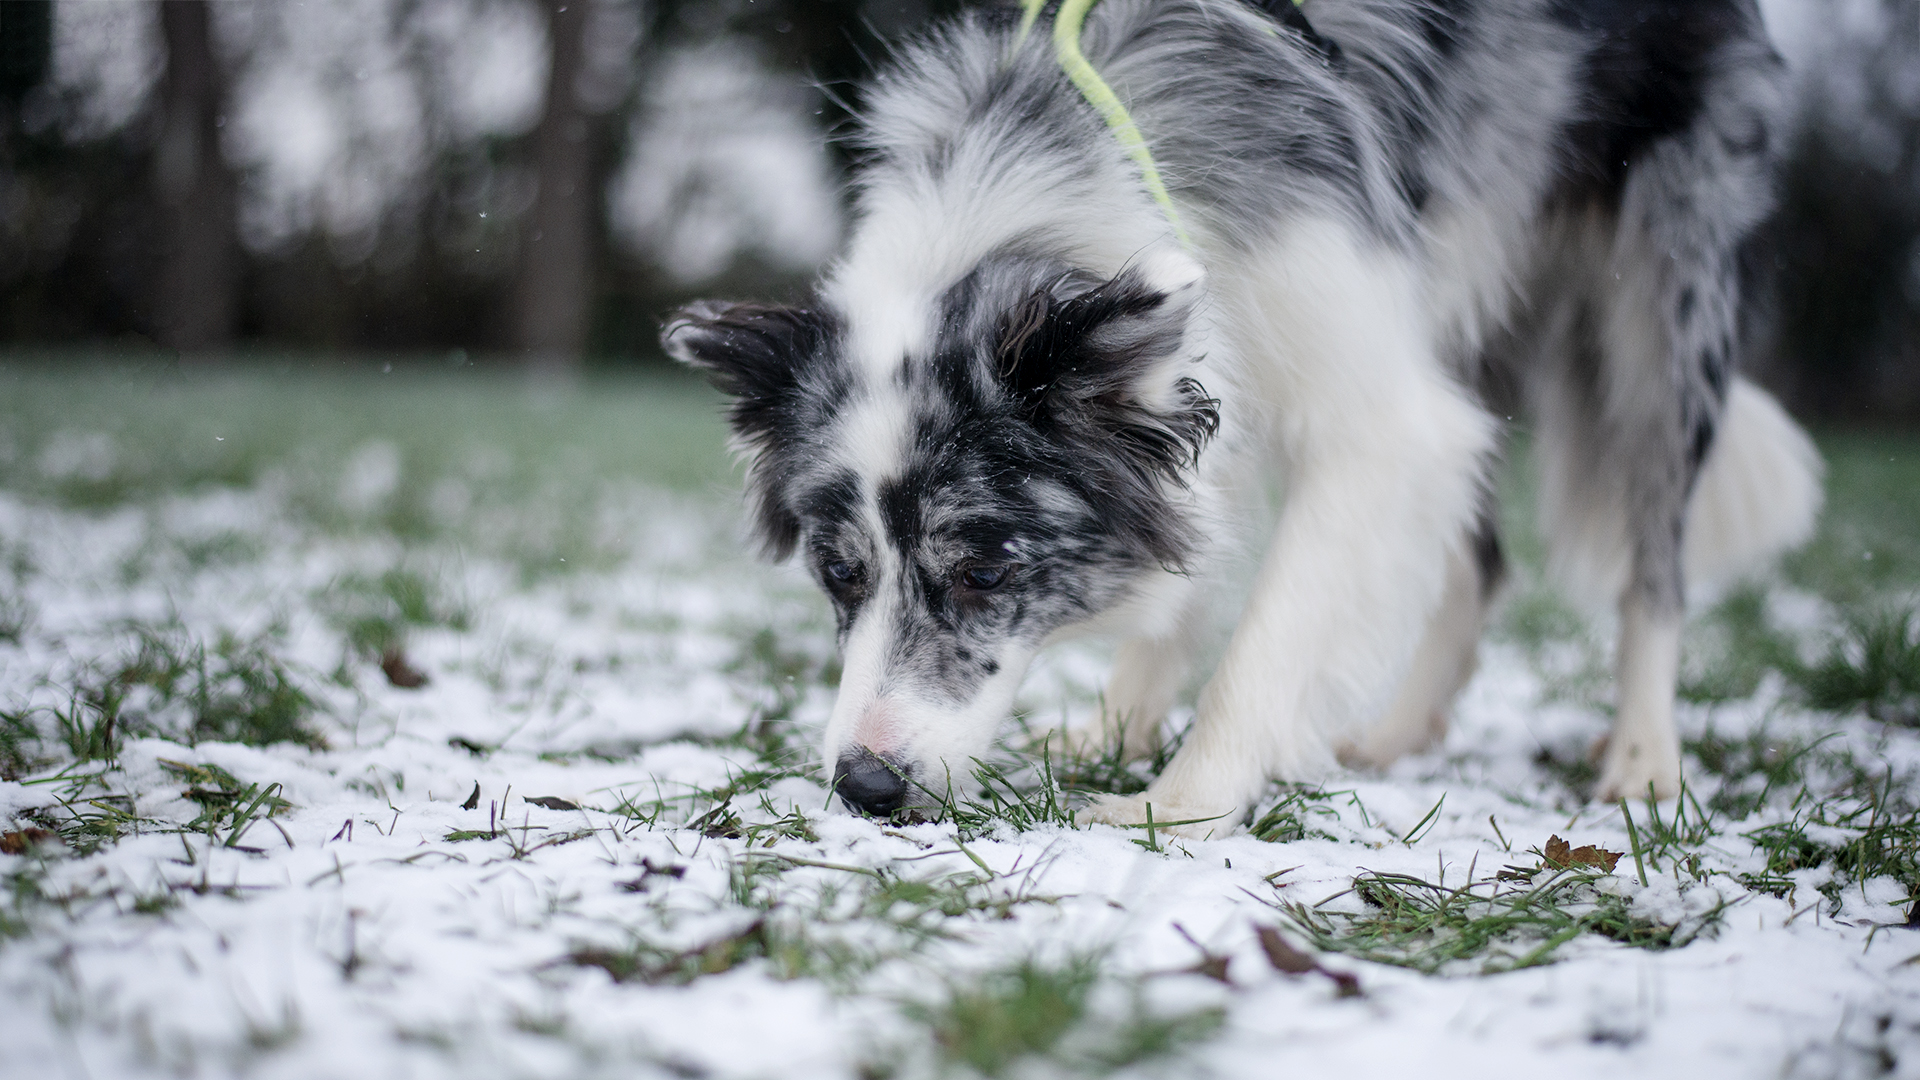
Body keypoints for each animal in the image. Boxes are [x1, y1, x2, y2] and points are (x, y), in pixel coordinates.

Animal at [668, 0, 1820, 826]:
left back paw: (1645, 760)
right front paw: (1116, 731)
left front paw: (1177, 805)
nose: (863, 788)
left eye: (985, 574)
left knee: (1652, 564)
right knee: (1481, 557)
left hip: (1660, 303)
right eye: (838, 574)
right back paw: (1401, 732)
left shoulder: (1375, 417)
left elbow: (1271, 635)